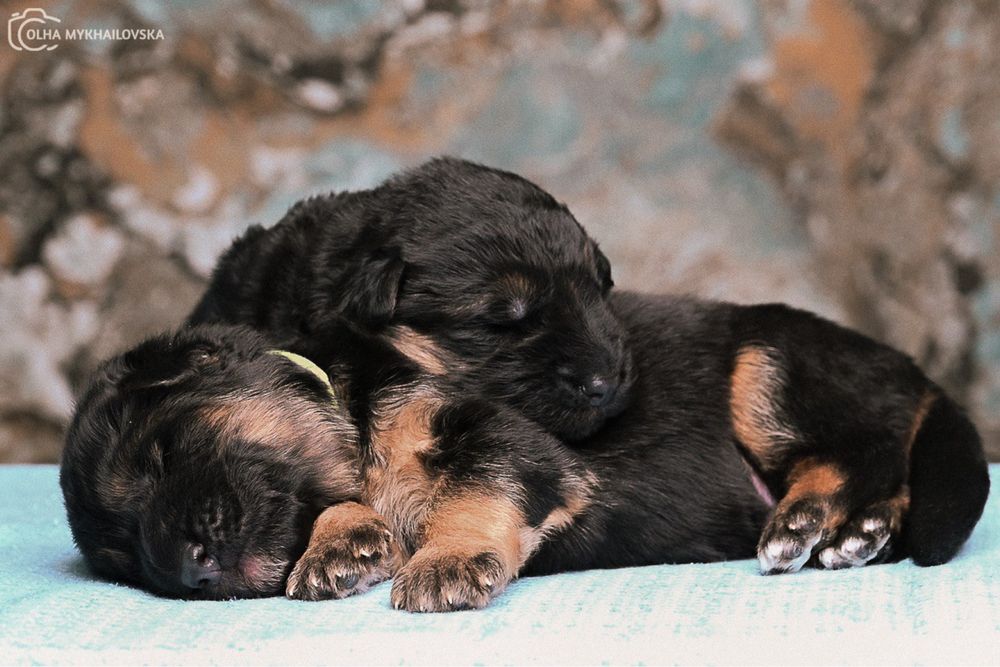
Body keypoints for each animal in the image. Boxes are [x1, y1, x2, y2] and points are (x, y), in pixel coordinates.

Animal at [191, 159, 988, 576]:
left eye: (602, 287)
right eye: (504, 318)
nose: (613, 383)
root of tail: (915, 373)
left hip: (769, 360)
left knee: (867, 446)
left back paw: (811, 518)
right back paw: (860, 531)